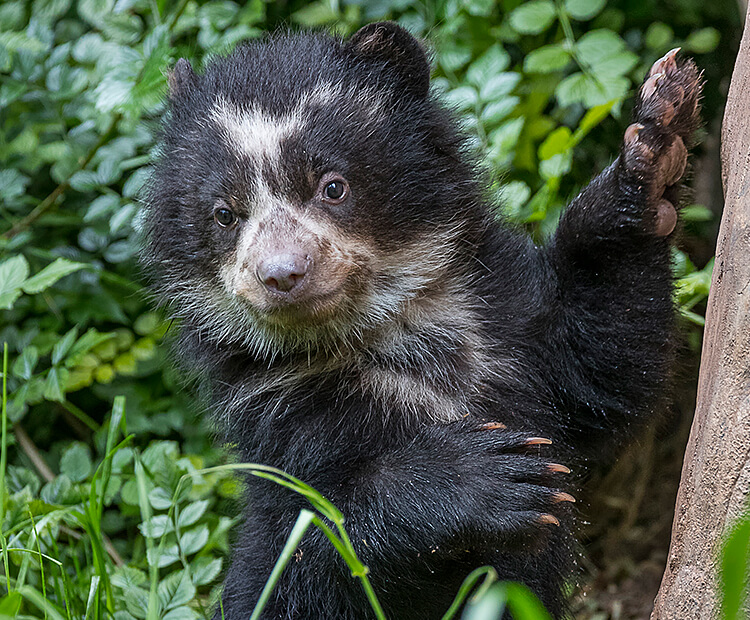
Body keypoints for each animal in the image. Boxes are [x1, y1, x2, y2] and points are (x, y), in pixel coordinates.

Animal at [142, 21, 704, 620]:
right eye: (224, 214)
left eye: (332, 186)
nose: (282, 274)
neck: (393, 331)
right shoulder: (287, 415)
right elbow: (305, 554)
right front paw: (495, 476)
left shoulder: (511, 320)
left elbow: (605, 376)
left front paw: (657, 142)